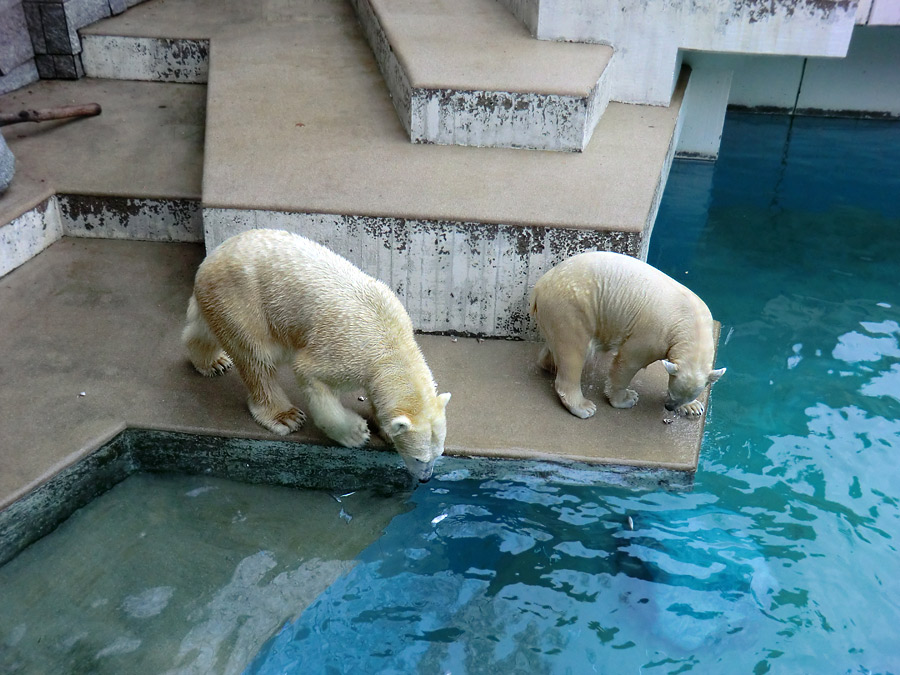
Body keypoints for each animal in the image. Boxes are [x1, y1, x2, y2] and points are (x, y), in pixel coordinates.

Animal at [183, 230, 450, 484]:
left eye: (438, 455)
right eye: (419, 457)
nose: (425, 478)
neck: (390, 341)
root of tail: (211, 258)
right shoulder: (347, 352)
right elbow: (311, 375)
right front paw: (356, 433)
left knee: (206, 329)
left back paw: (213, 362)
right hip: (242, 301)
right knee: (256, 358)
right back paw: (284, 416)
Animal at [528, 254, 724, 420]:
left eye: (684, 396)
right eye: (672, 393)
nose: (669, 407)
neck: (691, 323)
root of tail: (539, 286)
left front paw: (693, 407)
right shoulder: (653, 332)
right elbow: (629, 361)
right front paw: (627, 398)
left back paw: (549, 364)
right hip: (571, 309)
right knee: (574, 353)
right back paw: (583, 406)